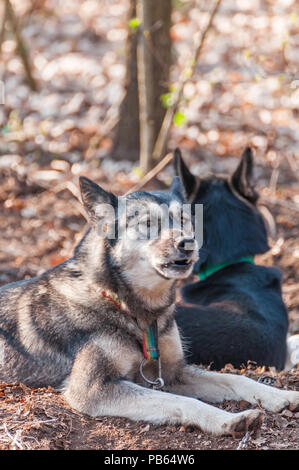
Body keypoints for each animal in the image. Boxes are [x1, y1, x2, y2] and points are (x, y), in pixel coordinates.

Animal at [0, 173, 298, 436]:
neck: (132, 309)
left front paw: (280, 395)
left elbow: (235, 378)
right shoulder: (91, 389)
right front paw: (227, 420)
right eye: (148, 223)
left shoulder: (173, 372)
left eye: (184, 220)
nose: (188, 243)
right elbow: (183, 401)